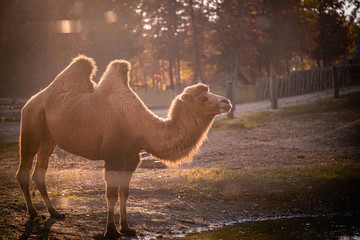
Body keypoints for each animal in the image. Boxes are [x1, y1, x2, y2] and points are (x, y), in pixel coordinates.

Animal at [15, 54, 232, 238]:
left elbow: (124, 193)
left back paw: (54, 212)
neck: (138, 125)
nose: (227, 101)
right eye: (203, 97)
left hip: (49, 138)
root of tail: (30, 101)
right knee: (23, 170)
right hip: (31, 126)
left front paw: (127, 228)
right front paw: (111, 231)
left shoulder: (132, 158)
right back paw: (33, 213)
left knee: (39, 172)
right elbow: (111, 194)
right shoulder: (113, 157)